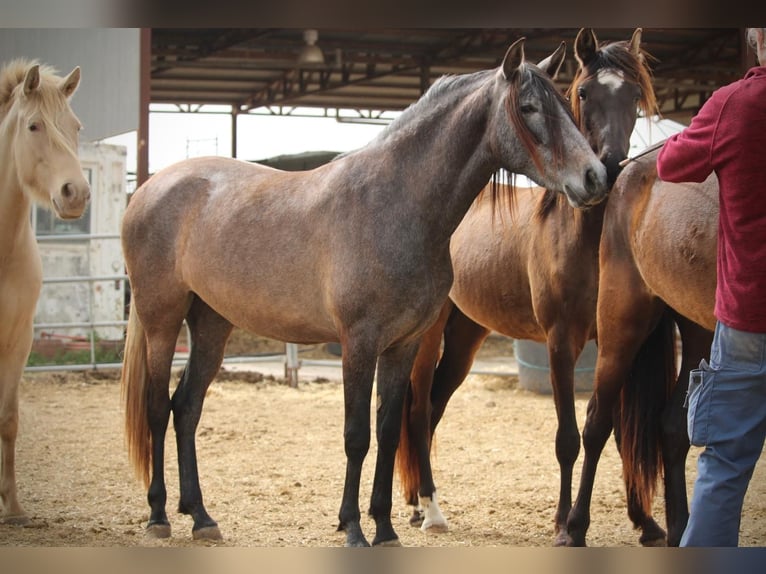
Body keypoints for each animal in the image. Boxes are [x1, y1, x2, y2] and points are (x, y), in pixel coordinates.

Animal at [120, 37, 609, 547]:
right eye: (529, 107)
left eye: (568, 105)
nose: (595, 177)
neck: (395, 203)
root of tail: (149, 189)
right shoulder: (359, 342)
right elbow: (357, 435)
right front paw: (353, 527)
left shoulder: (403, 344)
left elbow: (390, 430)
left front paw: (386, 527)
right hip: (161, 320)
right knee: (157, 408)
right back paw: (159, 515)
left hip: (212, 323)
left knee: (186, 408)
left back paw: (201, 517)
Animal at [394, 28, 658, 544]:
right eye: (584, 92)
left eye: (634, 95)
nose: (608, 168)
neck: (583, 236)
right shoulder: (561, 341)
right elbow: (567, 438)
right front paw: (562, 524)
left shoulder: (617, 339)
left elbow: (613, 432)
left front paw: (646, 521)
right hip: (430, 334)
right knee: (417, 411)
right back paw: (427, 509)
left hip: (466, 336)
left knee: (434, 405)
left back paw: (418, 502)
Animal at [564, 148, 717, 546]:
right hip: (621, 326)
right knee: (597, 423)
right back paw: (575, 528)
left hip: (699, 331)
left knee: (673, 426)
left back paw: (680, 530)